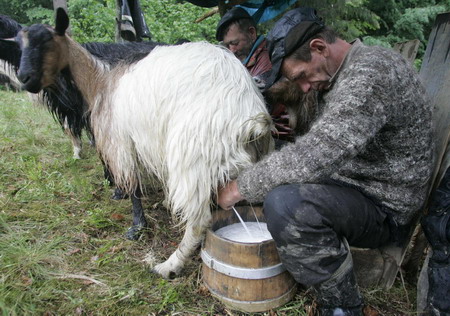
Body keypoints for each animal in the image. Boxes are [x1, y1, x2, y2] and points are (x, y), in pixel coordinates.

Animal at [15, 7, 272, 278]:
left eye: (47, 41)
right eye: (19, 44)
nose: (24, 78)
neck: (100, 81)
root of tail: (250, 117)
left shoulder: (120, 142)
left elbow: (133, 187)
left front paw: (137, 226)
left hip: (194, 158)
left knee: (199, 220)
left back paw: (169, 264)